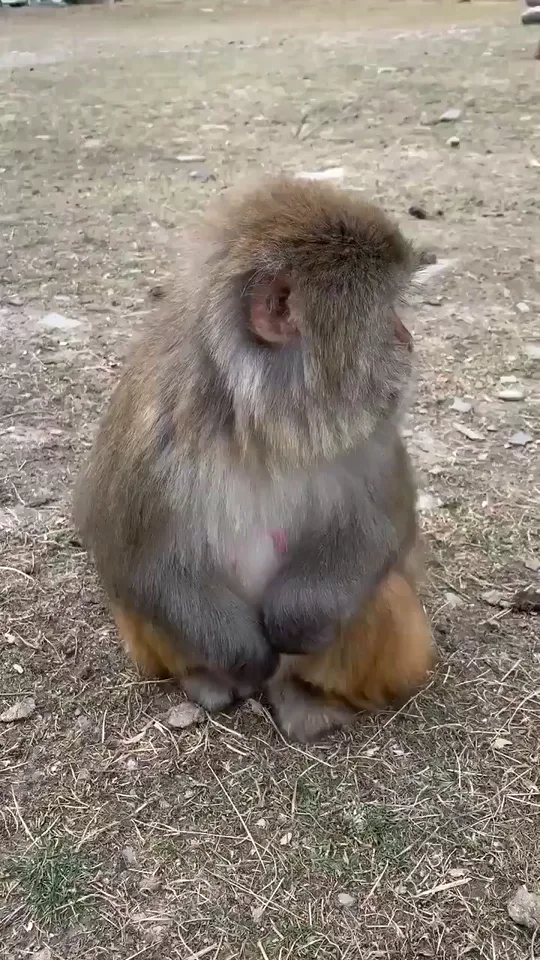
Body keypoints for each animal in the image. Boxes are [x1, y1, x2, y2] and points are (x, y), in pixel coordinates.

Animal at [73, 174, 434, 734]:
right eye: (386, 309)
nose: (407, 338)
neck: (264, 421)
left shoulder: (372, 428)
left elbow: (383, 527)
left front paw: (292, 621)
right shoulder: (147, 422)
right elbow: (125, 547)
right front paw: (243, 653)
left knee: (385, 591)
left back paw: (309, 696)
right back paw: (209, 678)